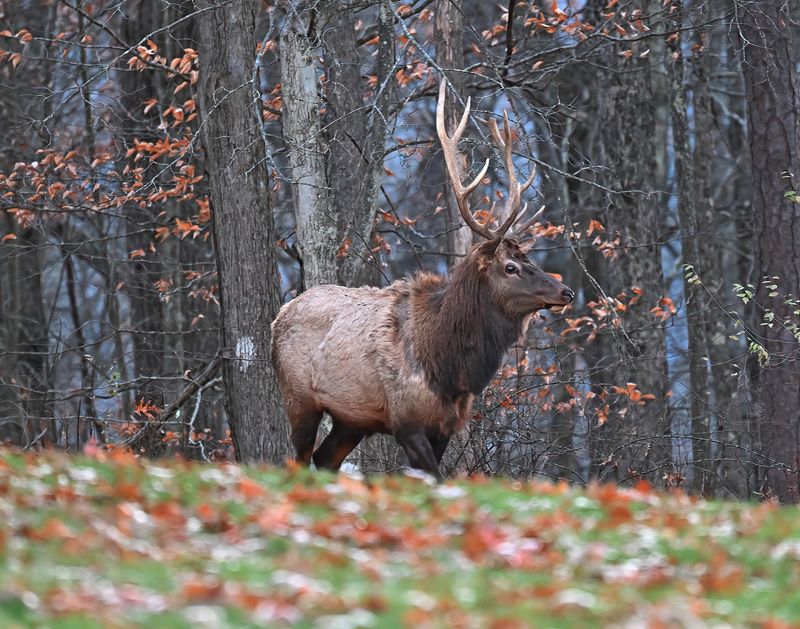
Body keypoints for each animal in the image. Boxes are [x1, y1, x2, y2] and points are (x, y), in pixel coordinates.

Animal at [270, 80, 574, 481]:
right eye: (510, 267)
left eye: (529, 259)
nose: (566, 291)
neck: (450, 370)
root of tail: (279, 316)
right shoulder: (406, 420)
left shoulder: (445, 425)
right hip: (299, 399)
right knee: (300, 459)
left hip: (352, 418)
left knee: (324, 459)